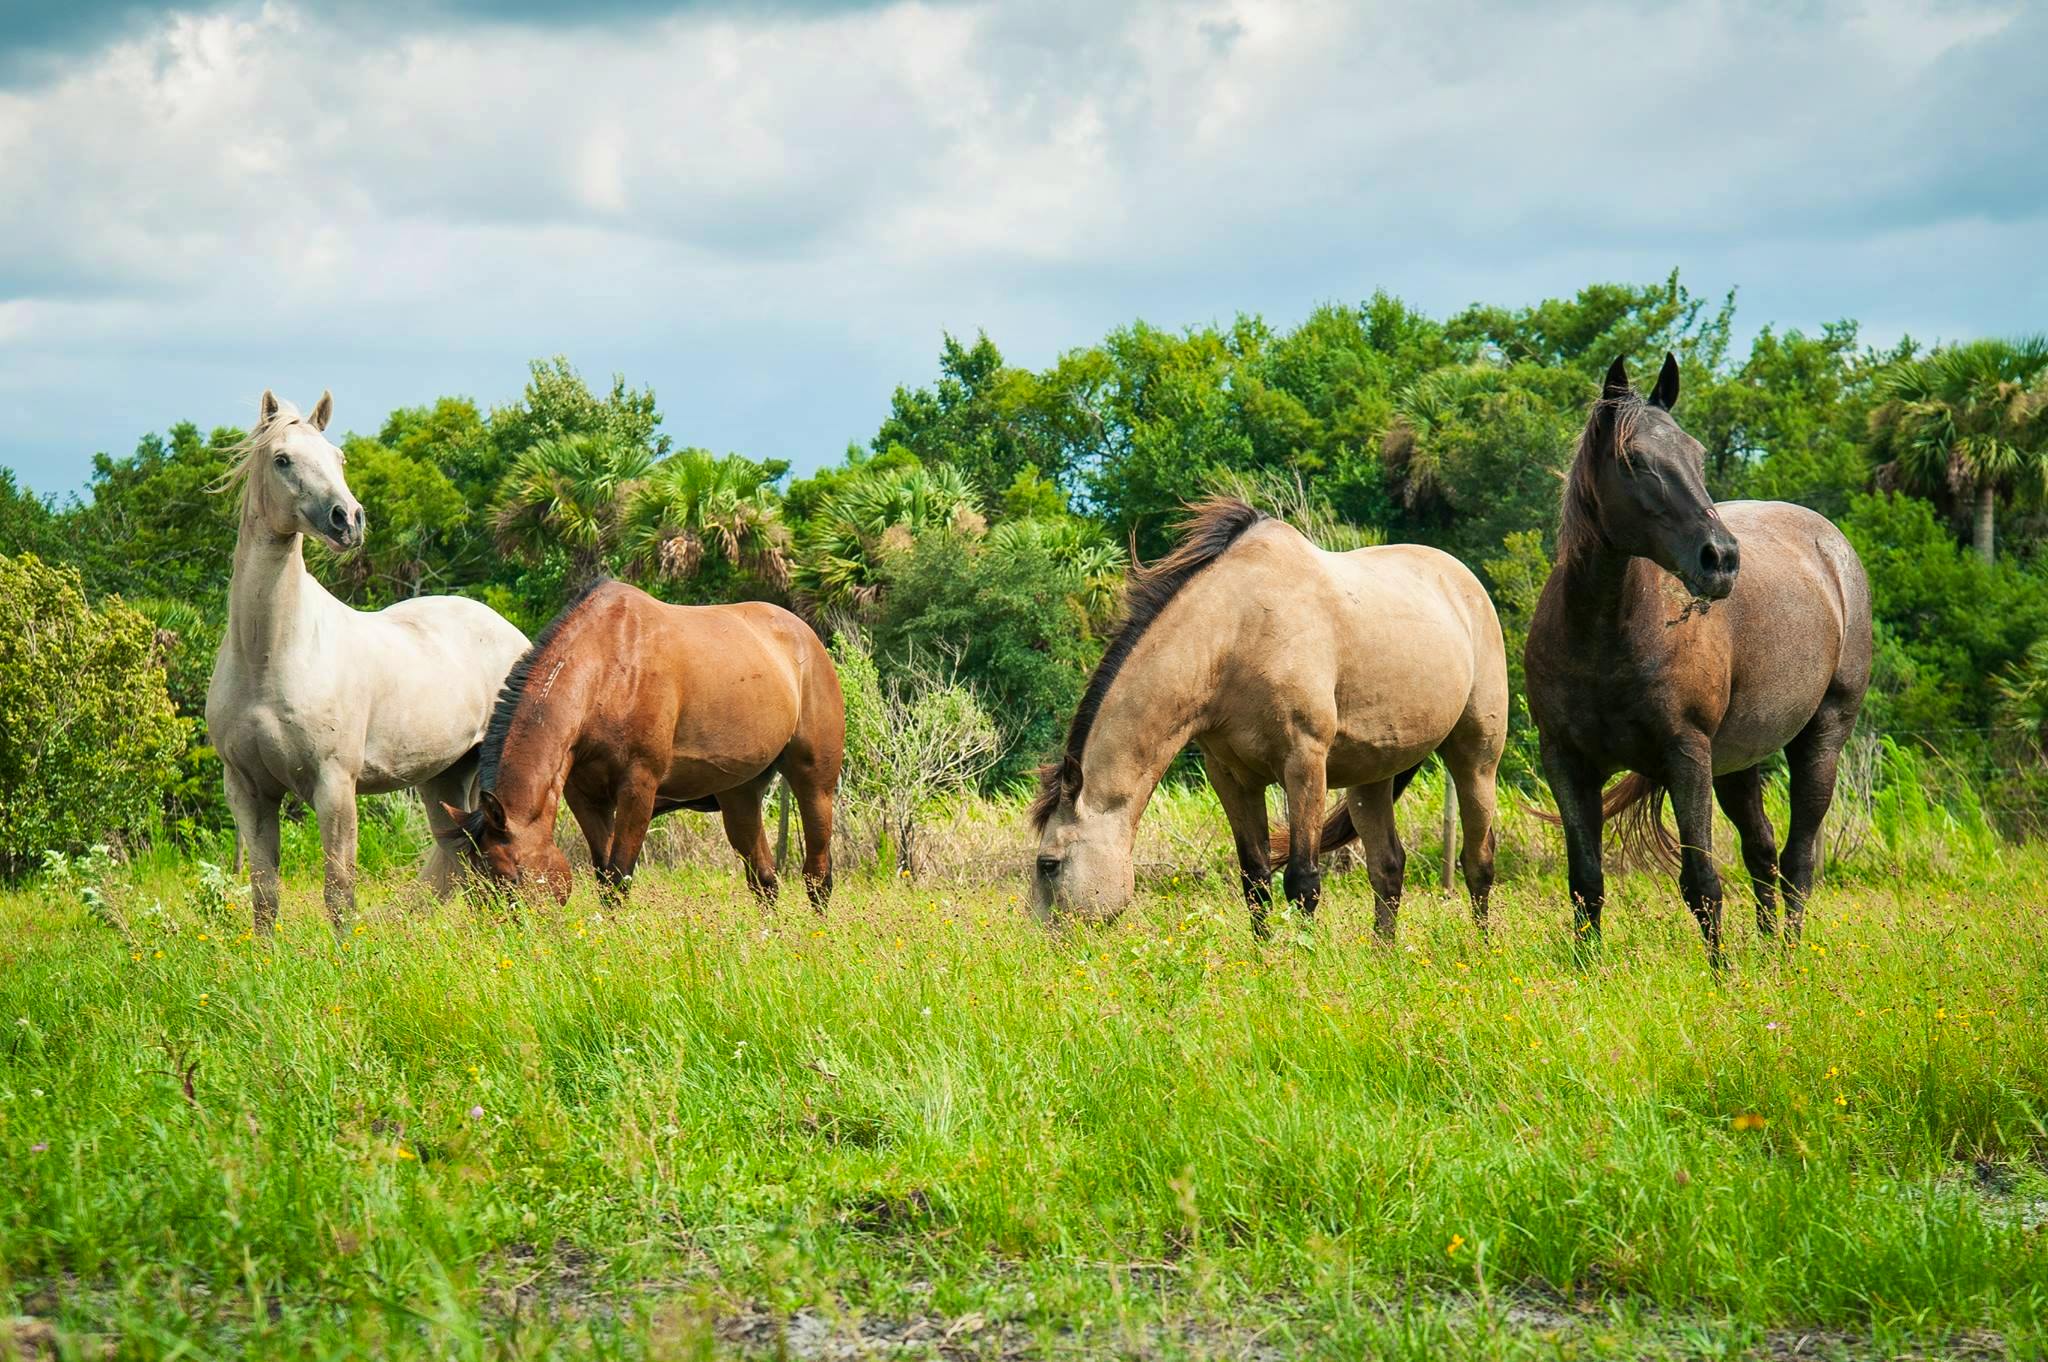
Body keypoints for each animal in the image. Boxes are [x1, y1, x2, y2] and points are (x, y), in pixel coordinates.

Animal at [204, 387, 528, 929]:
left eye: (338, 457)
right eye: (282, 459)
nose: (348, 520)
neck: (267, 658)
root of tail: (515, 636)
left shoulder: (334, 786)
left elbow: (339, 892)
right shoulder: (247, 790)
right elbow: (265, 896)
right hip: (445, 776)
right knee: (459, 856)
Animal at [440, 573, 839, 901]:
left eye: (510, 880)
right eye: (475, 888)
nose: (511, 938)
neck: (606, 671)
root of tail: (806, 637)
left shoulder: (638, 788)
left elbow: (619, 877)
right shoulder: (585, 796)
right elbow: (603, 874)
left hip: (815, 784)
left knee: (817, 876)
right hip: (740, 793)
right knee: (764, 879)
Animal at [1040, 497, 1507, 933]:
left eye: (1048, 863)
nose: (1052, 946)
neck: (1235, 635)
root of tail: (1465, 583)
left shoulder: (1304, 764)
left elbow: (1303, 881)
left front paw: (1305, 959)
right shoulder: (1232, 778)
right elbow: (1255, 880)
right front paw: (1265, 960)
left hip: (1476, 759)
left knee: (1478, 860)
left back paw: (1481, 947)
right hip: (1373, 776)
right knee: (1388, 867)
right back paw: (1382, 956)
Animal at [1523, 356, 1875, 962]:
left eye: (1698, 454)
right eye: (1635, 459)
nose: (1722, 559)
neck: (1605, 638)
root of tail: (1833, 548)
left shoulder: (1686, 755)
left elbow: (1701, 883)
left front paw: (1721, 974)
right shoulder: (1565, 761)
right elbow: (1586, 880)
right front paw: (1588, 970)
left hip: (1822, 737)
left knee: (1798, 858)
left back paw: (1789, 956)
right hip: (1738, 760)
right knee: (1762, 851)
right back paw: (1769, 952)